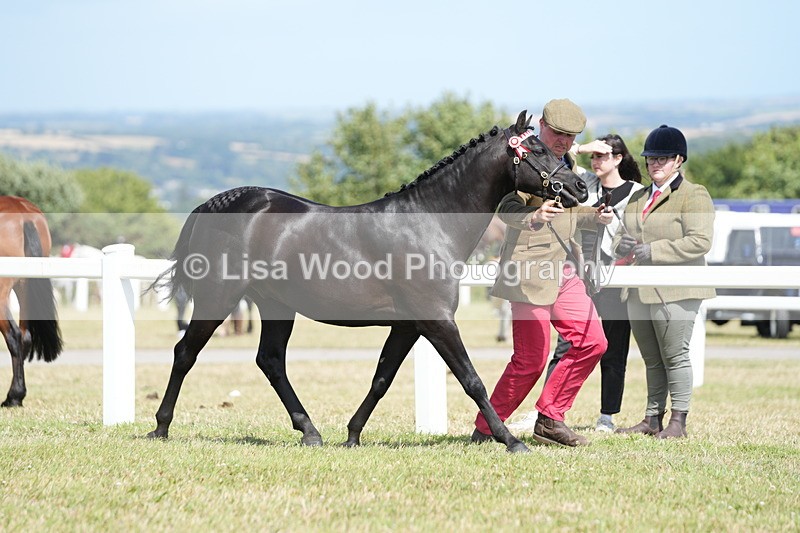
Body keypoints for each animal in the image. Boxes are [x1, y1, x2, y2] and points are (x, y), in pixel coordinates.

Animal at [0, 196, 63, 407]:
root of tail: (23, 213)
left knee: (14, 336)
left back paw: (13, 397)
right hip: (24, 288)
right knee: (25, 336)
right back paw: (16, 395)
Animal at [148, 111, 588, 453]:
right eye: (539, 149)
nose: (580, 187)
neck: (429, 223)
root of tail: (213, 203)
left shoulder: (408, 325)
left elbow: (381, 378)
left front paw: (352, 435)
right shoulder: (438, 321)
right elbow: (472, 380)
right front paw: (511, 440)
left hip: (276, 306)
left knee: (270, 361)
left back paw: (310, 432)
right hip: (218, 298)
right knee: (185, 352)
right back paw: (160, 427)